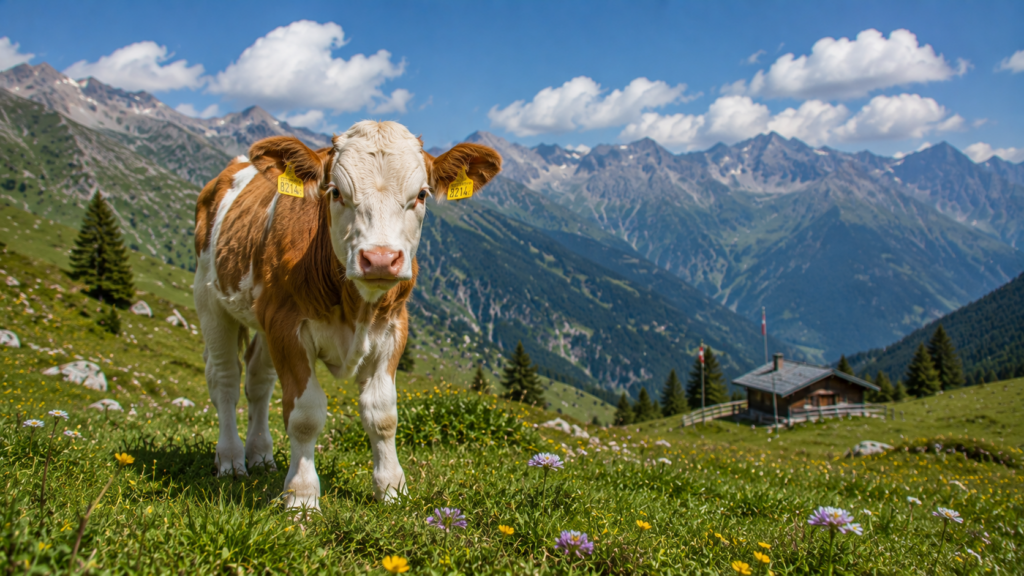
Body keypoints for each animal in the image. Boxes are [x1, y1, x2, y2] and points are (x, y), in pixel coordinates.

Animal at [193, 121, 501, 509]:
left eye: (421, 195)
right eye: (336, 192)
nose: (381, 259)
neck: (358, 307)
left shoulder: (393, 327)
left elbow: (382, 413)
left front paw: (391, 489)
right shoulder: (286, 325)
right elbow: (305, 415)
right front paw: (302, 497)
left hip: (261, 320)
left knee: (258, 381)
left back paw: (261, 455)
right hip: (210, 300)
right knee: (225, 380)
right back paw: (231, 459)